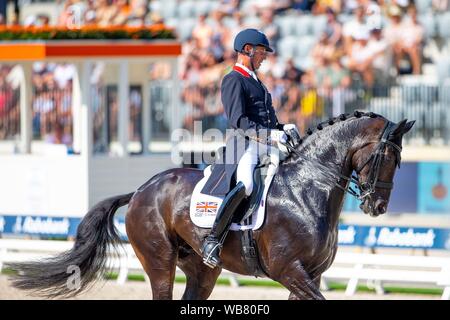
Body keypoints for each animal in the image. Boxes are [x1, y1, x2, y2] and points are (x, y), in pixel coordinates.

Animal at [7, 111, 414, 298]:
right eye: (386, 157)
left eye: (400, 160)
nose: (376, 207)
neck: (306, 191)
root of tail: (140, 190)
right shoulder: (290, 271)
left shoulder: (309, 275)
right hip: (159, 261)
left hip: (202, 270)